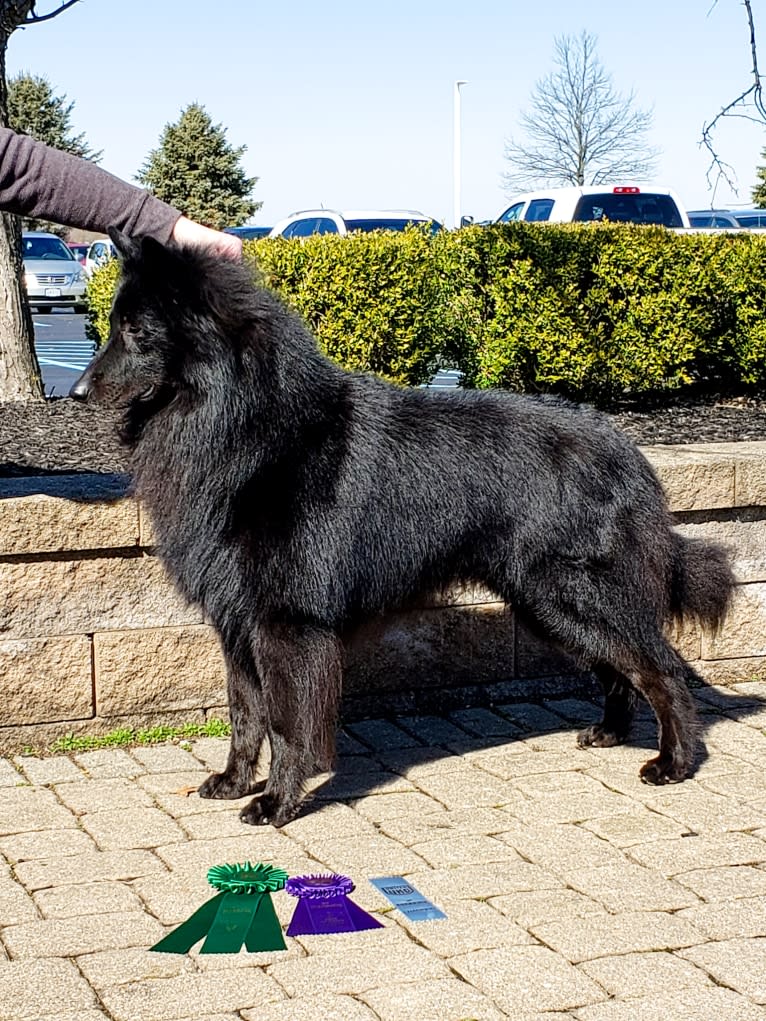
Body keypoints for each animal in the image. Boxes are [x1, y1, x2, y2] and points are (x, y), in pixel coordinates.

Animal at [70, 227, 739, 824]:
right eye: (112, 326)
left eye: (135, 331)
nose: (75, 392)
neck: (248, 427)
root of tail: (627, 450)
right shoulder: (238, 624)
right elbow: (244, 715)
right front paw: (235, 782)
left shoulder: (287, 623)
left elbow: (286, 723)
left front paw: (277, 803)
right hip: (547, 606)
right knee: (620, 667)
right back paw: (610, 732)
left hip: (572, 595)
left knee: (662, 669)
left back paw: (674, 762)